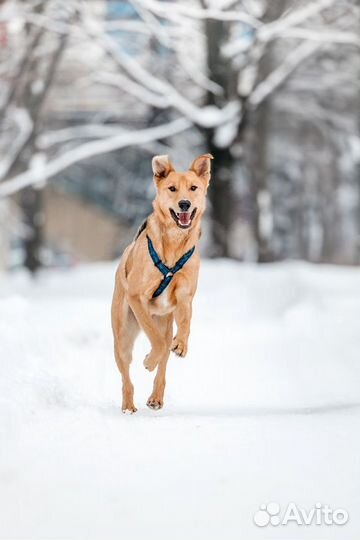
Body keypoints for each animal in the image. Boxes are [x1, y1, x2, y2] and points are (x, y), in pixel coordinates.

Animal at [112, 154, 214, 412]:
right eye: (172, 188)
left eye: (193, 188)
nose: (185, 204)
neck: (174, 244)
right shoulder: (137, 296)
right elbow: (155, 341)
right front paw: (149, 361)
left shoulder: (185, 296)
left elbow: (185, 322)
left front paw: (182, 344)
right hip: (123, 336)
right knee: (127, 374)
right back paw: (128, 404)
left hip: (165, 323)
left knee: (164, 359)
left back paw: (156, 397)